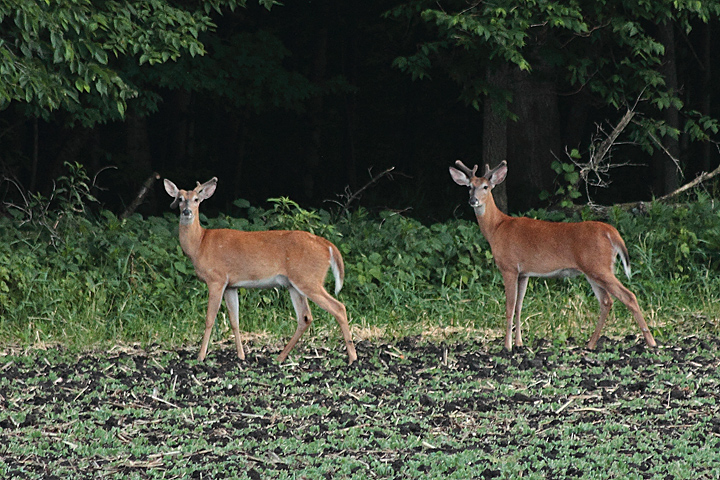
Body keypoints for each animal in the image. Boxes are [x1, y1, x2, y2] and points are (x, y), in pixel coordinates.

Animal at [164, 177, 357, 364]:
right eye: (180, 199)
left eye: (196, 199)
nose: (186, 211)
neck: (199, 244)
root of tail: (328, 245)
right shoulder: (230, 285)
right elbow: (235, 320)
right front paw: (241, 356)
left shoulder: (216, 279)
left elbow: (209, 320)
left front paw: (200, 356)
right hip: (294, 284)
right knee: (305, 317)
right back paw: (280, 357)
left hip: (308, 279)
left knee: (339, 308)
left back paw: (352, 358)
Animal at [449, 160, 657, 352]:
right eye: (469, 186)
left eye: (485, 186)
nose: (473, 201)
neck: (496, 228)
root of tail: (611, 232)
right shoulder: (524, 273)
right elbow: (519, 306)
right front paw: (519, 343)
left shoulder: (508, 267)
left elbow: (509, 307)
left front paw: (507, 346)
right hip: (595, 269)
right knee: (607, 301)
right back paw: (590, 344)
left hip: (598, 267)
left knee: (628, 296)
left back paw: (651, 342)